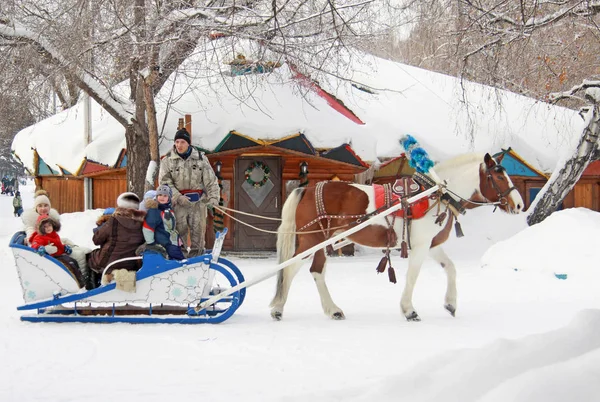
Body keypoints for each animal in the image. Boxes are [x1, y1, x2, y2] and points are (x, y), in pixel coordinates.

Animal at [270, 152, 524, 322]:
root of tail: (307, 188)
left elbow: (450, 268)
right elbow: (412, 276)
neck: (435, 194)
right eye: (499, 177)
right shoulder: (420, 246)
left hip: (323, 242)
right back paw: (278, 308)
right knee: (290, 268)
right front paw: (409, 310)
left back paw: (333, 309)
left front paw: (451, 303)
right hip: (311, 241)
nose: (520, 205)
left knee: (317, 271)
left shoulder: (432, 245)